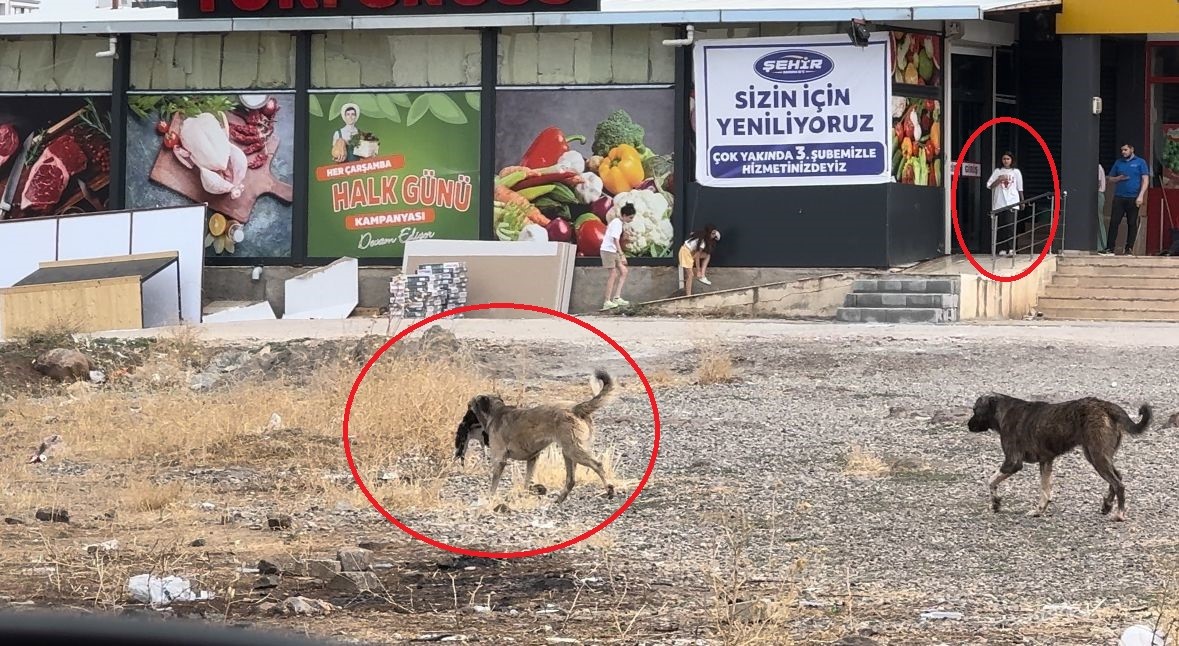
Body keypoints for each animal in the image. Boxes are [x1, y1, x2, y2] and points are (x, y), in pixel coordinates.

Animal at [344, 301, 664, 561]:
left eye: (469, 409)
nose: (461, 424)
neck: (496, 411)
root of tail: (577, 408)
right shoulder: (532, 458)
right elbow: (526, 480)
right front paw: (531, 490)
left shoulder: (499, 459)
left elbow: (494, 483)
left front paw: (493, 498)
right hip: (567, 452)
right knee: (571, 479)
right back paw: (559, 499)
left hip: (574, 449)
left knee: (596, 464)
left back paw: (608, 489)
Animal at [952, 116, 1065, 282]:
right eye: (1004, 159)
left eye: (1008, 158)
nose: (1005, 161)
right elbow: (990, 183)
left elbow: (1018, 194)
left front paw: (1012, 250)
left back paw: (1010, 251)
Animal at [966, 391, 1150, 523]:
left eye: (975, 410)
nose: (968, 426)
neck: (1003, 411)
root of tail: (1105, 405)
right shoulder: (1045, 461)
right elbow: (1045, 491)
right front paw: (1039, 510)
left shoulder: (1013, 462)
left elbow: (990, 481)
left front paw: (996, 502)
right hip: (1095, 455)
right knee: (1117, 477)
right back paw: (1107, 505)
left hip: (1097, 456)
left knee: (1119, 484)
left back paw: (1119, 514)